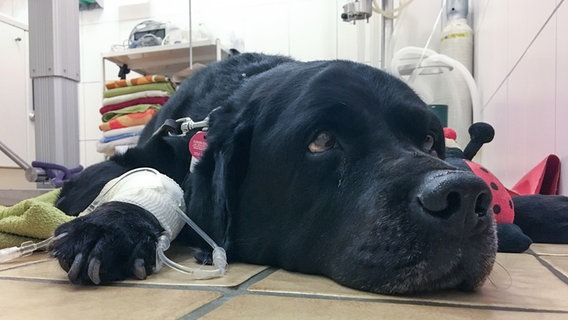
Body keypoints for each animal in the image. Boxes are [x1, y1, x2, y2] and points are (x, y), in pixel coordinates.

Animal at [53, 52, 496, 296]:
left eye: (428, 140)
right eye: (321, 140)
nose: (465, 197)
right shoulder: (109, 169)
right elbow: (147, 183)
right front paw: (109, 226)